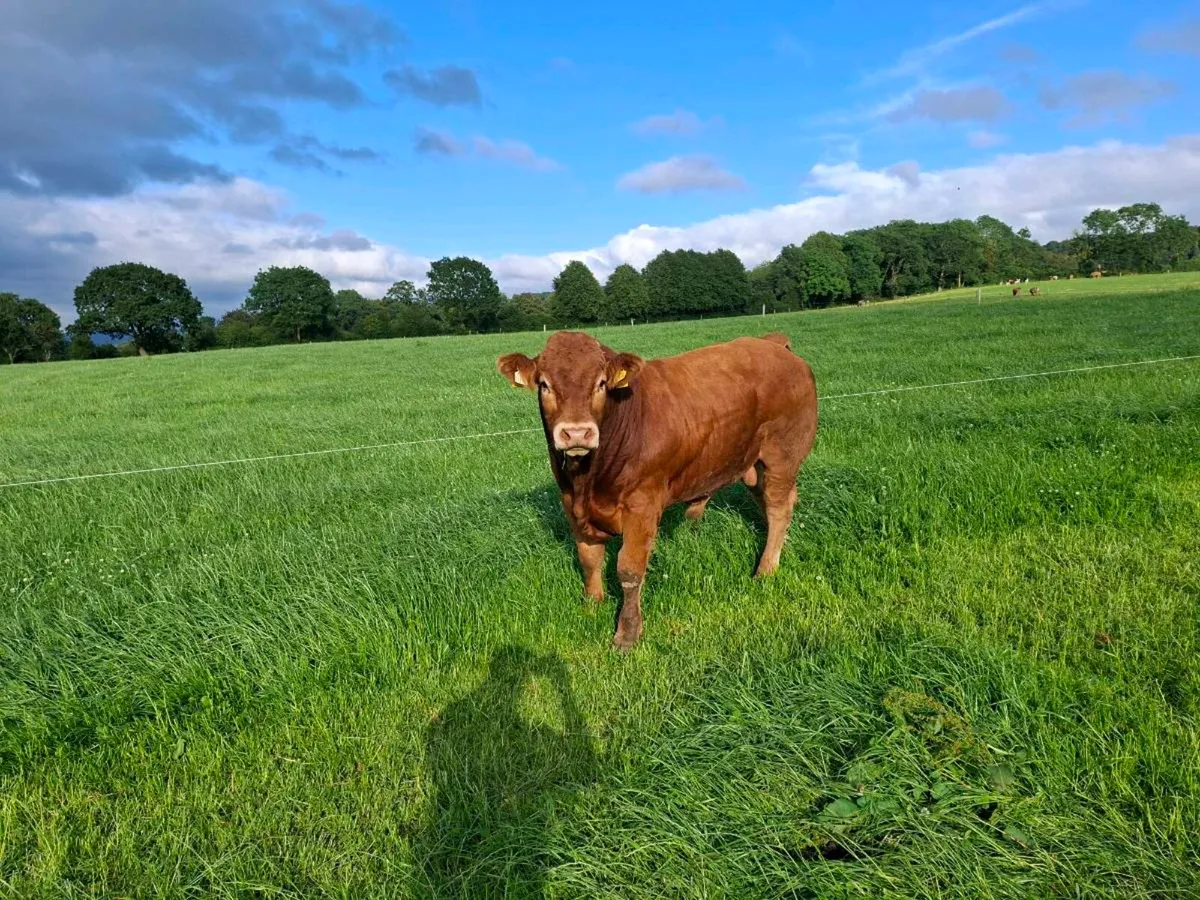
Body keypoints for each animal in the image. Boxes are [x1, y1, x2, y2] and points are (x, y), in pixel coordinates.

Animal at [498, 330, 818, 650]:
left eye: (600, 383)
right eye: (544, 384)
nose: (577, 433)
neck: (588, 479)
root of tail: (771, 342)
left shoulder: (642, 505)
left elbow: (628, 569)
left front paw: (627, 633)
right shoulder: (570, 504)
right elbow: (588, 559)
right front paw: (592, 605)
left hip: (782, 456)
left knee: (779, 509)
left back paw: (765, 569)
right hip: (751, 464)